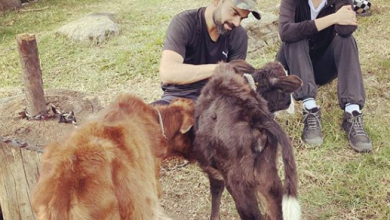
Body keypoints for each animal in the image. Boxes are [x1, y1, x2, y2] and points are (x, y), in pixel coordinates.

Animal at [194, 62, 302, 220]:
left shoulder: (213, 169)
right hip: (267, 176)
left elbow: (216, 194)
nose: (292, 104)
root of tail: (255, 115)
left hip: (239, 185)